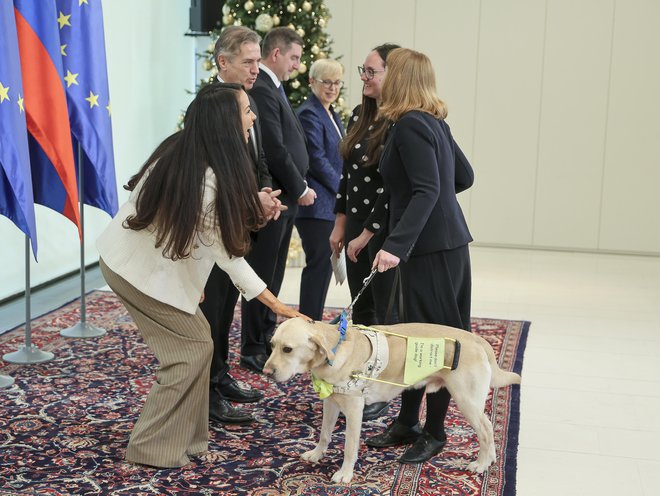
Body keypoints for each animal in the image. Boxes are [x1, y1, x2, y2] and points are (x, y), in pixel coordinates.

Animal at [262, 318, 520, 484]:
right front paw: (317, 455)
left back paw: (481, 463)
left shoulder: (354, 409)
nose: (266, 372)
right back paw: (491, 458)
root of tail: (478, 339)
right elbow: (325, 434)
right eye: (272, 345)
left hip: (466, 399)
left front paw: (345, 474)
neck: (334, 348)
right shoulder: (331, 402)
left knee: (486, 429)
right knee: (488, 428)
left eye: (288, 349)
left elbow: (349, 447)